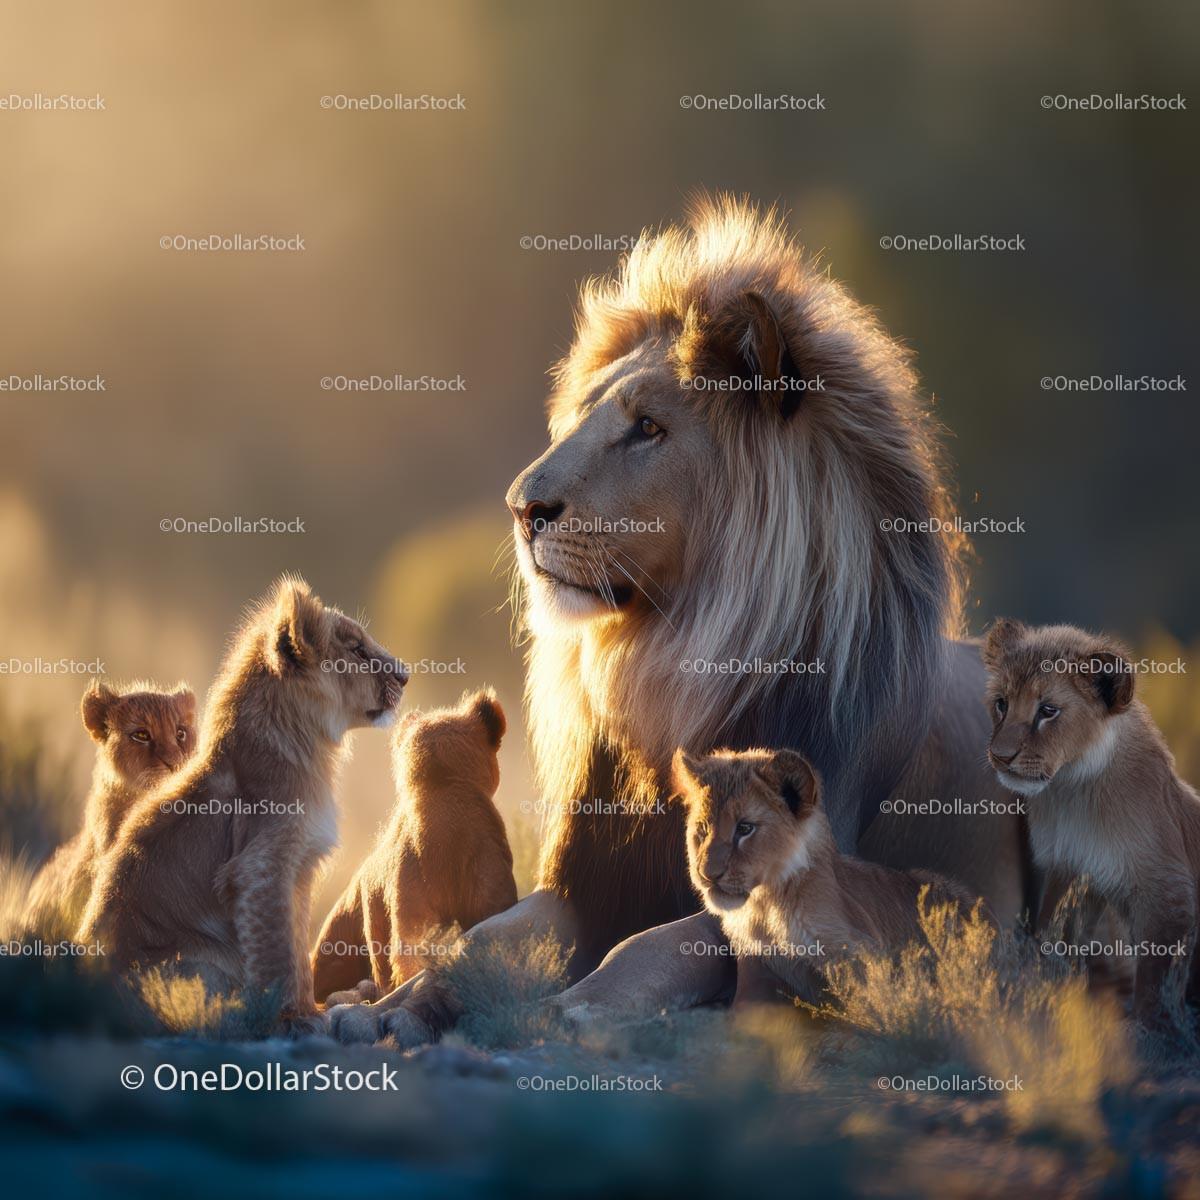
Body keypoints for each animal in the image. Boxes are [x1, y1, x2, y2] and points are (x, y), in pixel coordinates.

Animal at [77, 576, 406, 1029]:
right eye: (356, 649)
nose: (406, 675)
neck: (311, 744)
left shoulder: (298, 869)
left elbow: (297, 945)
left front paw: (312, 1008)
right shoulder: (260, 866)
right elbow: (277, 954)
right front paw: (292, 1019)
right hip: (197, 958)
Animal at [673, 747, 988, 1006]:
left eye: (745, 828)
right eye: (702, 829)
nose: (707, 874)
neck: (764, 906)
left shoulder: (860, 952)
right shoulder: (761, 968)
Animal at [984, 618, 1200, 1023]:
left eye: (1048, 710)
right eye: (1001, 703)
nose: (1001, 757)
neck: (1072, 790)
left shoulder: (1167, 888)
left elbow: (1153, 983)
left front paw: (1149, 1027)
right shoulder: (1069, 870)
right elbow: (1052, 940)